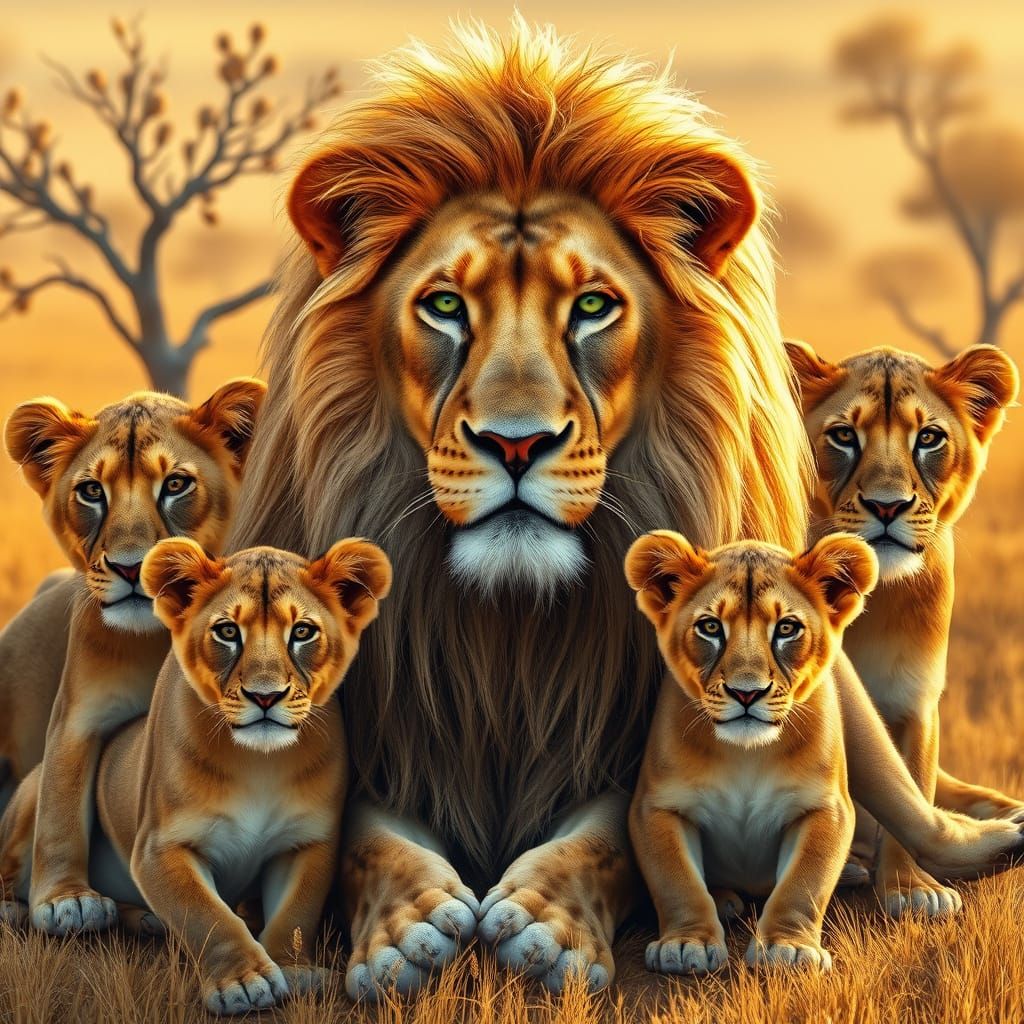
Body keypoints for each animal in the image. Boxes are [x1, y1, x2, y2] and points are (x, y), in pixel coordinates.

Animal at [0, 380, 265, 935]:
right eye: (91, 491)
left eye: (176, 485)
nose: (130, 568)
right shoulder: (80, 712)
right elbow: (62, 798)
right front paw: (65, 899)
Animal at [0, 537, 391, 1015]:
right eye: (227, 631)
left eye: (302, 632)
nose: (265, 696)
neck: (259, 764)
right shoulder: (160, 848)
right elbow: (206, 914)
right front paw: (243, 983)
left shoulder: (306, 844)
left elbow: (295, 914)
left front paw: (293, 969)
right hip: (35, 793)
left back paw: (145, 919)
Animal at [626, 531, 879, 973]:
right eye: (710, 627)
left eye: (787, 628)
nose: (747, 693)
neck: (746, 755)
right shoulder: (656, 807)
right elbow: (676, 879)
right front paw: (687, 943)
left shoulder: (826, 807)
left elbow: (804, 881)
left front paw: (788, 948)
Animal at [787, 340, 1023, 917]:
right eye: (844, 436)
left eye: (929, 438)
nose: (887, 505)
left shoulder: (914, 700)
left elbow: (910, 777)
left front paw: (910, 888)